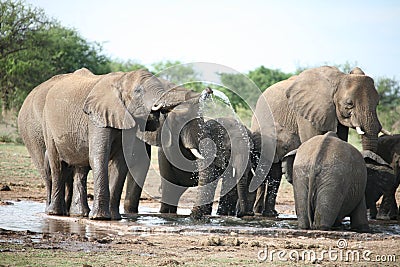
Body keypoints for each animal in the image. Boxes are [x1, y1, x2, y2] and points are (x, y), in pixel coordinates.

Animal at [36, 68, 203, 221]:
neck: (121, 79)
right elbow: (99, 155)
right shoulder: (97, 116)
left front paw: (115, 218)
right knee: (57, 165)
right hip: (47, 125)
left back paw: (79, 214)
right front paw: (100, 218)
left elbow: (121, 162)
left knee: (80, 168)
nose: (206, 90)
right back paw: (55, 213)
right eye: (138, 91)